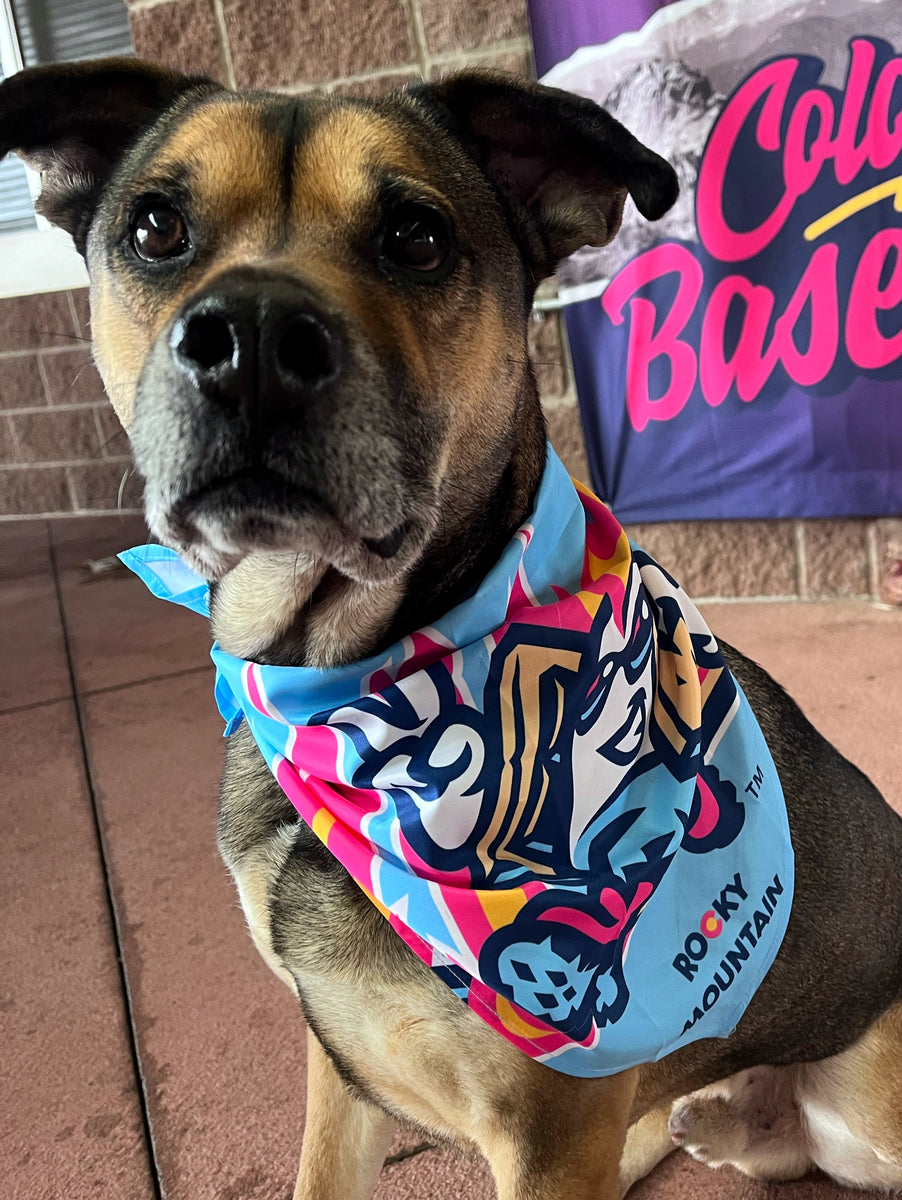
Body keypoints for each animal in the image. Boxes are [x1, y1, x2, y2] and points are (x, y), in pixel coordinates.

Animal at [1, 58, 902, 1200]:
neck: (356, 686)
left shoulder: (549, 1136)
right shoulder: (336, 1060)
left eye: (416, 237)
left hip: (863, 1098)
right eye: (157, 226)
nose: (250, 338)